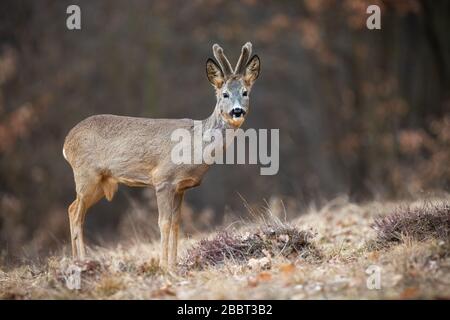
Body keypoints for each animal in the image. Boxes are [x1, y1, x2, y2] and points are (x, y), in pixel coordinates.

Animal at [63, 41, 260, 268]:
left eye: (245, 92)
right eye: (225, 94)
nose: (237, 111)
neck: (195, 146)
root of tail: (66, 143)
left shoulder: (181, 188)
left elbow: (176, 224)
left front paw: (174, 264)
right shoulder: (163, 179)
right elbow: (163, 223)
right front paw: (163, 265)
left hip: (102, 182)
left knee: (72, 208)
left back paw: (77, 260)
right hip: (86, 174)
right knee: (76, 214)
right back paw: (82, 261)